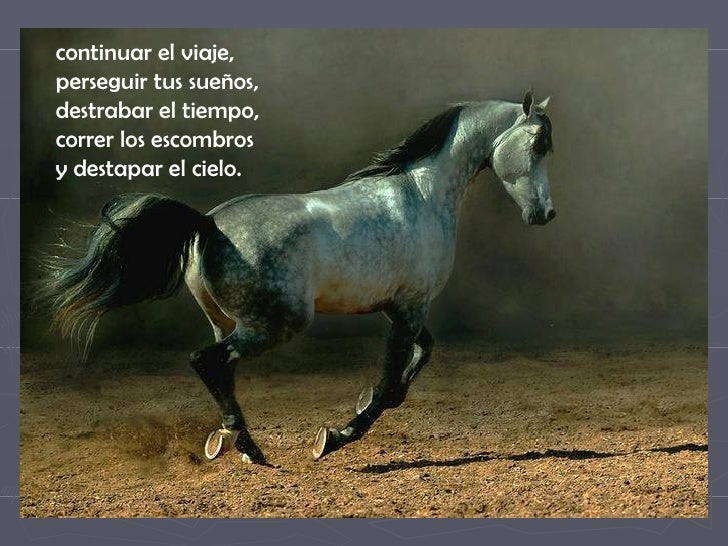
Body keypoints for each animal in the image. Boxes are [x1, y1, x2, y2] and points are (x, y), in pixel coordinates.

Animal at [40, 91, 556, 464]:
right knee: (207, 361)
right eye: (536, 145)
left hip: (228, 322)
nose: (545, 214)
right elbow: (390, 382)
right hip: (278, 324)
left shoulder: (398, 308)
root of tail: (207, 224)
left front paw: (363, 405)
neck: (422, 194)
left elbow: (420, 356)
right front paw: (335, 436)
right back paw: (248, 447)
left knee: (221, 368)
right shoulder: (410, 306)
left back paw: (229, 440)